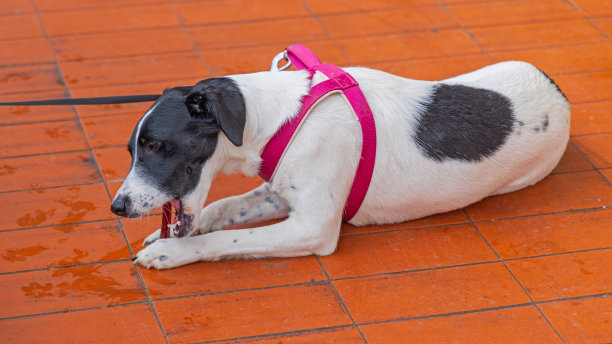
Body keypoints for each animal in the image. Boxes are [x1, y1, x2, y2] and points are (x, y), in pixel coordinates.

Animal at [109, 62, 568, 272]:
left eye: (155, 145)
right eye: (133, 148)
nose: (117, 207)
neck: (283, 118)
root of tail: (555, 86)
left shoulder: (313, 227)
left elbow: (227, 239)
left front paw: (171, 251)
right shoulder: (280, 191)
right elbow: (222, 208)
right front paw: (167, 235)